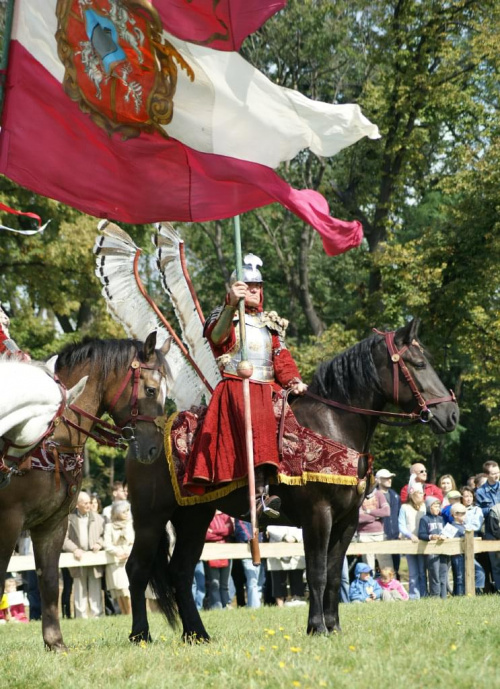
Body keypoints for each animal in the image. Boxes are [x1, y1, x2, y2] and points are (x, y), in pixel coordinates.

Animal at [0, 330, 170, 648]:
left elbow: (49, 580)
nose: (153, 449)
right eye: (151, 390)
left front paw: (55, 643)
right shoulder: (9, 520)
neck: (55, 445)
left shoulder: (53, 523)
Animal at [123, 320, 458, 644]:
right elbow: (317, 572)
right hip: (151, 518)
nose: (451, 414)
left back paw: (197, 635)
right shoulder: (318, 516)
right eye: (418, 364)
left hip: (194, 516)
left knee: (180, 572)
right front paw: (317, 628)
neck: (333, 425)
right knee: (137, 569)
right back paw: (141, 635)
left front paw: (333, 627)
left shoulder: (347, 521)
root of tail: (142, 441)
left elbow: (333, 575)